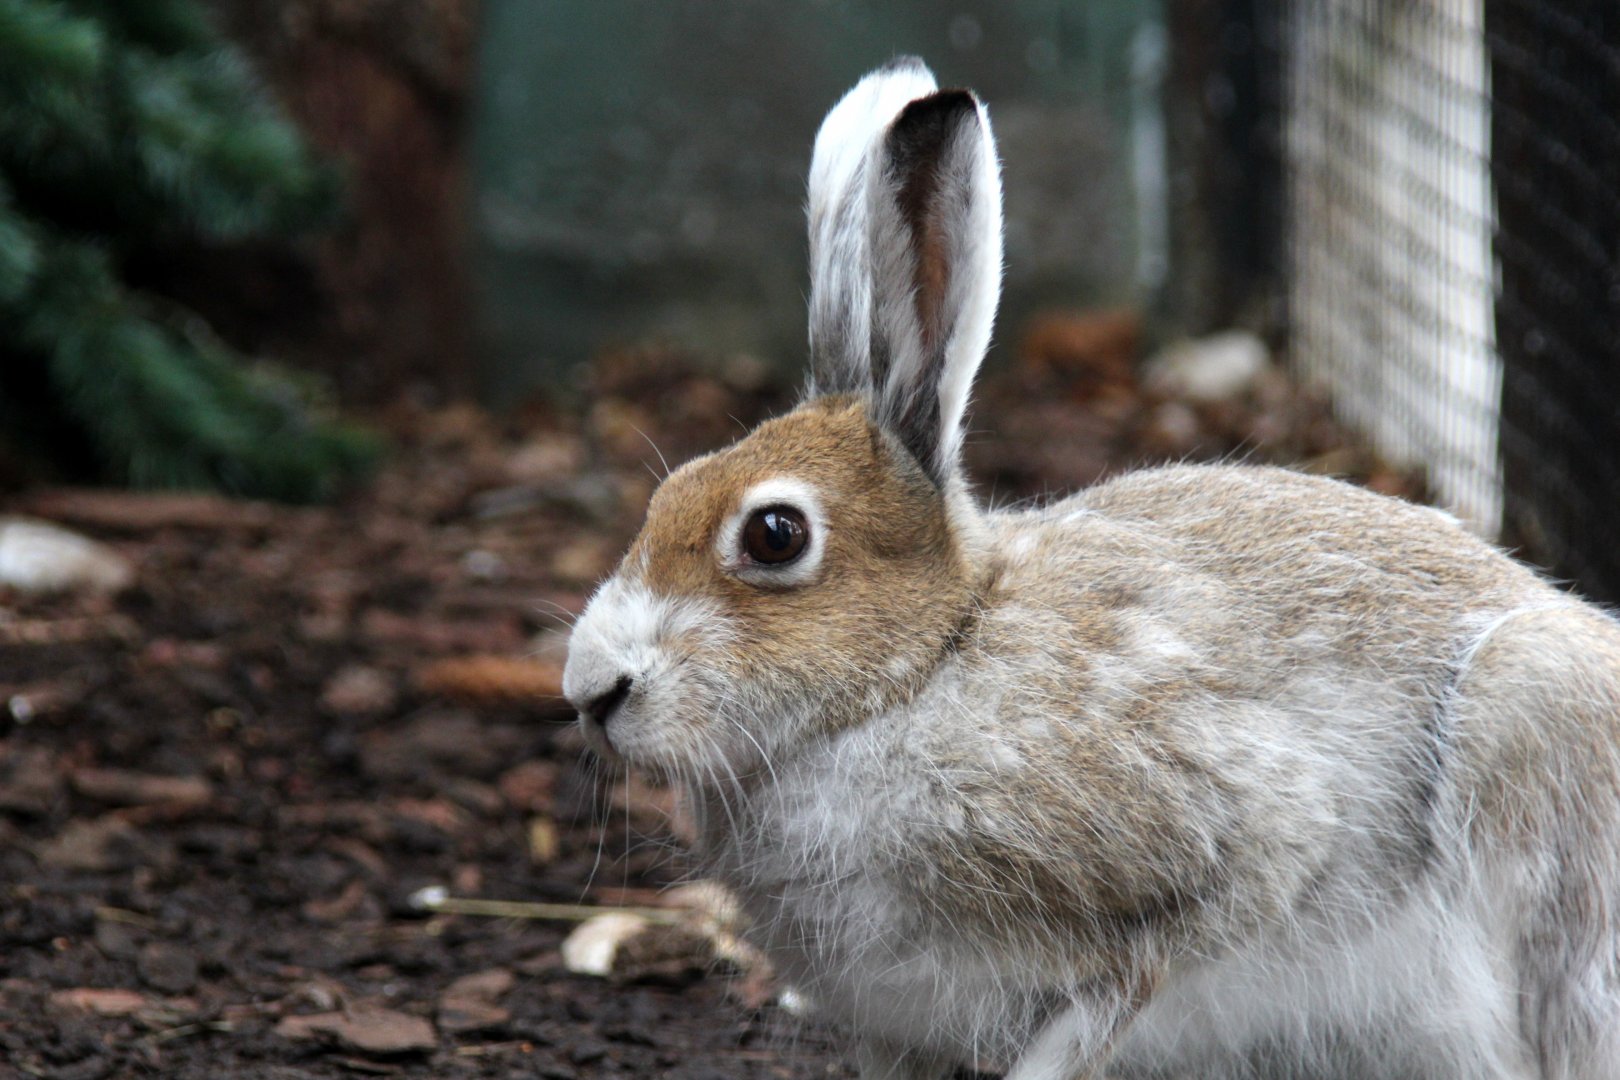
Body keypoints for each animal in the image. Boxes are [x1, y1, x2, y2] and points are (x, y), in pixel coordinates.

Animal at [562, 56, 1620, 1080]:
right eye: (670, 491)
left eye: (775, 535)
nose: (589, 690)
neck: (927, 665)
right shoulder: (889, 1023)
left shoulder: (1223, 860)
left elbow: (1120, 997)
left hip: (1537, 735)